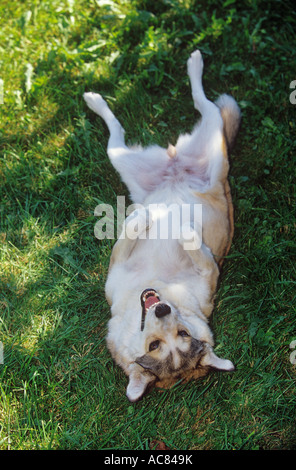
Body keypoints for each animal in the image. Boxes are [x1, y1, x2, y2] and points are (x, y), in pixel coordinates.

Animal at [83, 49, 240, 402]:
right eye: (154, 345)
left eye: (182, 333)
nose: (162, 309)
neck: (160, 285)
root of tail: (174, 163)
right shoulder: (115, 271)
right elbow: (130, 233)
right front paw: (150, 218)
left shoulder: (210, 273)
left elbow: (196, 250)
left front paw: (174, 227)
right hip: (124, 159)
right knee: (118, 129)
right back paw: (95, 100)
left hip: (212, 151)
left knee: (204, 103)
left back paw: (194, 65)